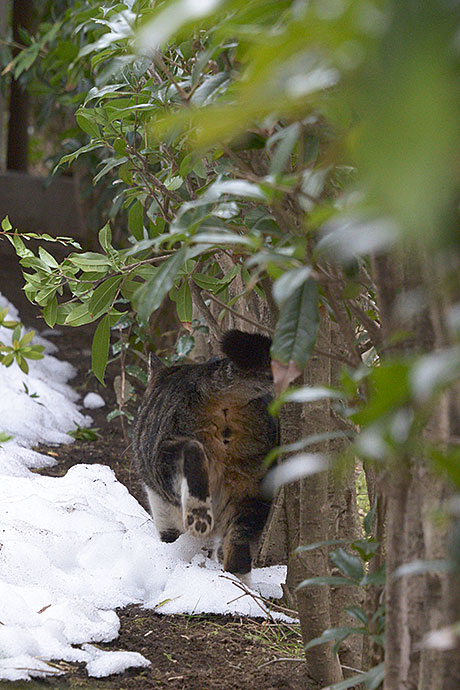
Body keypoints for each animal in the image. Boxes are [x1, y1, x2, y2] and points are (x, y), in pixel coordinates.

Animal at [132, 330, 276, 576]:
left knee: (192, 457)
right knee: (239, 547)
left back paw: (198, 517)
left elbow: (172, 536)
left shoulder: (160, 504)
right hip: (256, 483)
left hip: (169, 454)